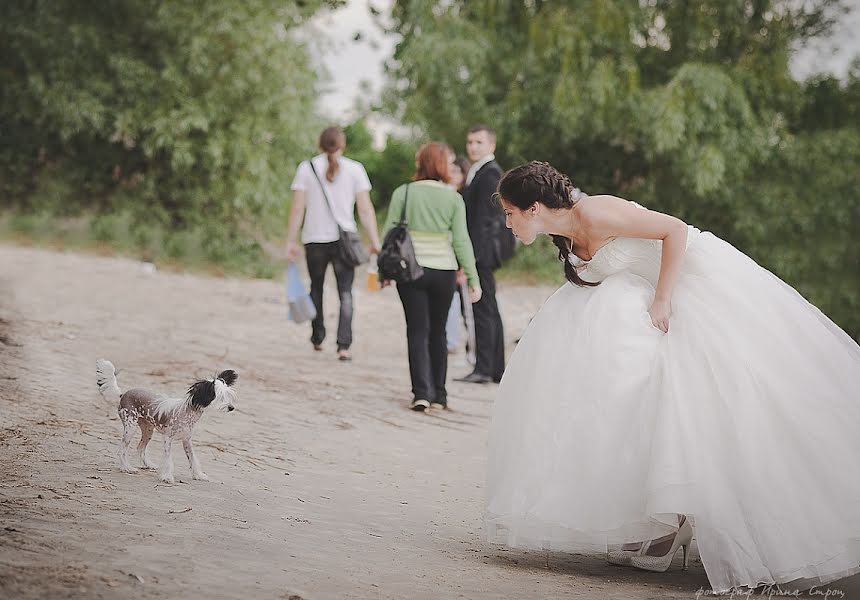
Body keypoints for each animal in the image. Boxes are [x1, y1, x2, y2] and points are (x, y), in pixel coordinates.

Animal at [95, 360, 237, 482]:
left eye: (227, 395)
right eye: (219, 396)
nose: (231, 408)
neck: (188, 412)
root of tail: (123, 394)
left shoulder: (187, 440)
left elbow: (193, 458)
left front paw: (198, 475)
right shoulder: (168, 439)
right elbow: (168, 460)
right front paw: (167, 477)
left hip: (148, 430)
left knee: (140, 448)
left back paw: (149, 465)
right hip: (130, 428)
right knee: (122, 450)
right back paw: (126, 468)